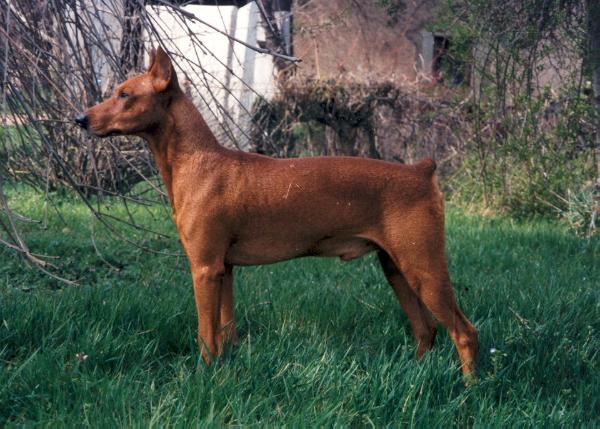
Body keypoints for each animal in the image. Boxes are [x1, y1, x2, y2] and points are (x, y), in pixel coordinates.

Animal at [75, 46, 478, 380]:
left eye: (124, 94)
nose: (80, 120)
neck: (199, 161)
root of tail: (421, 171)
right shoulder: (224, 269)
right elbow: (226, 331)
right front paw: (226, 370)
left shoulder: (204, 269)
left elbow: (206, 334)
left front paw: (202, 377)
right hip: (397, 269)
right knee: (427, 329)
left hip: (423, 267)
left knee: (464, 331)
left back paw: (469, 388)